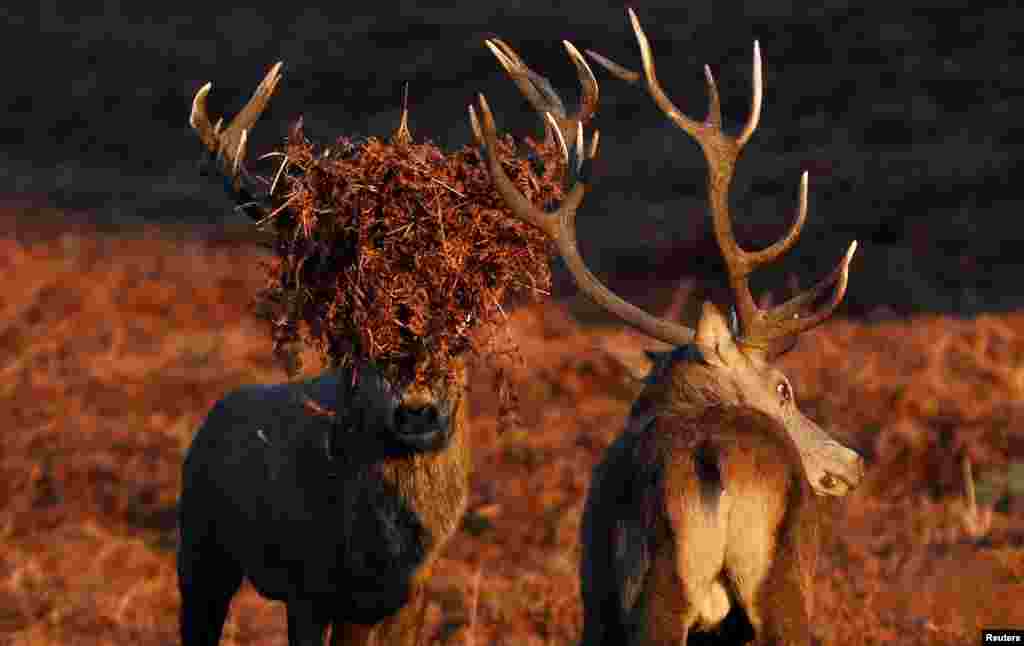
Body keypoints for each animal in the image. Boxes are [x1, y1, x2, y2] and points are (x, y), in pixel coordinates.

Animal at [179, 41, 598, 646]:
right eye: (357, 332)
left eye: (462, 327)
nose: (416, 412)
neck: (376, 554)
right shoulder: (306, 589)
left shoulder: (410, 593)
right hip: (198, 541)